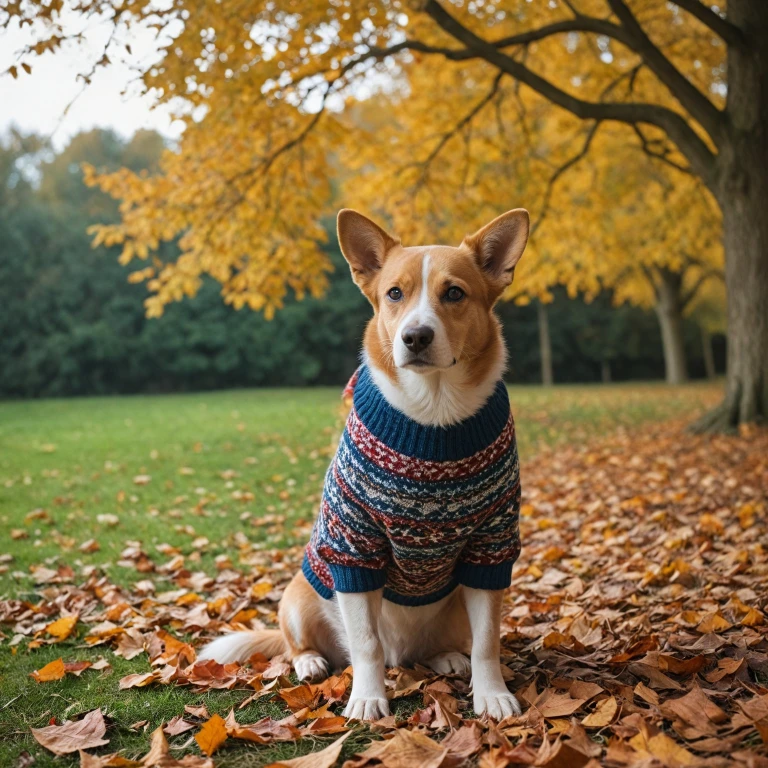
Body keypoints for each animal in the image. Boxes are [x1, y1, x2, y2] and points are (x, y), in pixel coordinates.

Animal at [201, 207, 532, 724]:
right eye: (394, 293)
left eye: (454, 293)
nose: (415, 336)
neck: (433, 415)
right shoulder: (354, 550)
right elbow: (366, 644)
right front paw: (367, 697)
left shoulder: (490, 549)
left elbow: (486, 644)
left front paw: (491, 693)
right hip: (300, 594)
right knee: (308, 646)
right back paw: (312, 661)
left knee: (438, 646)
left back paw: (445, 657)